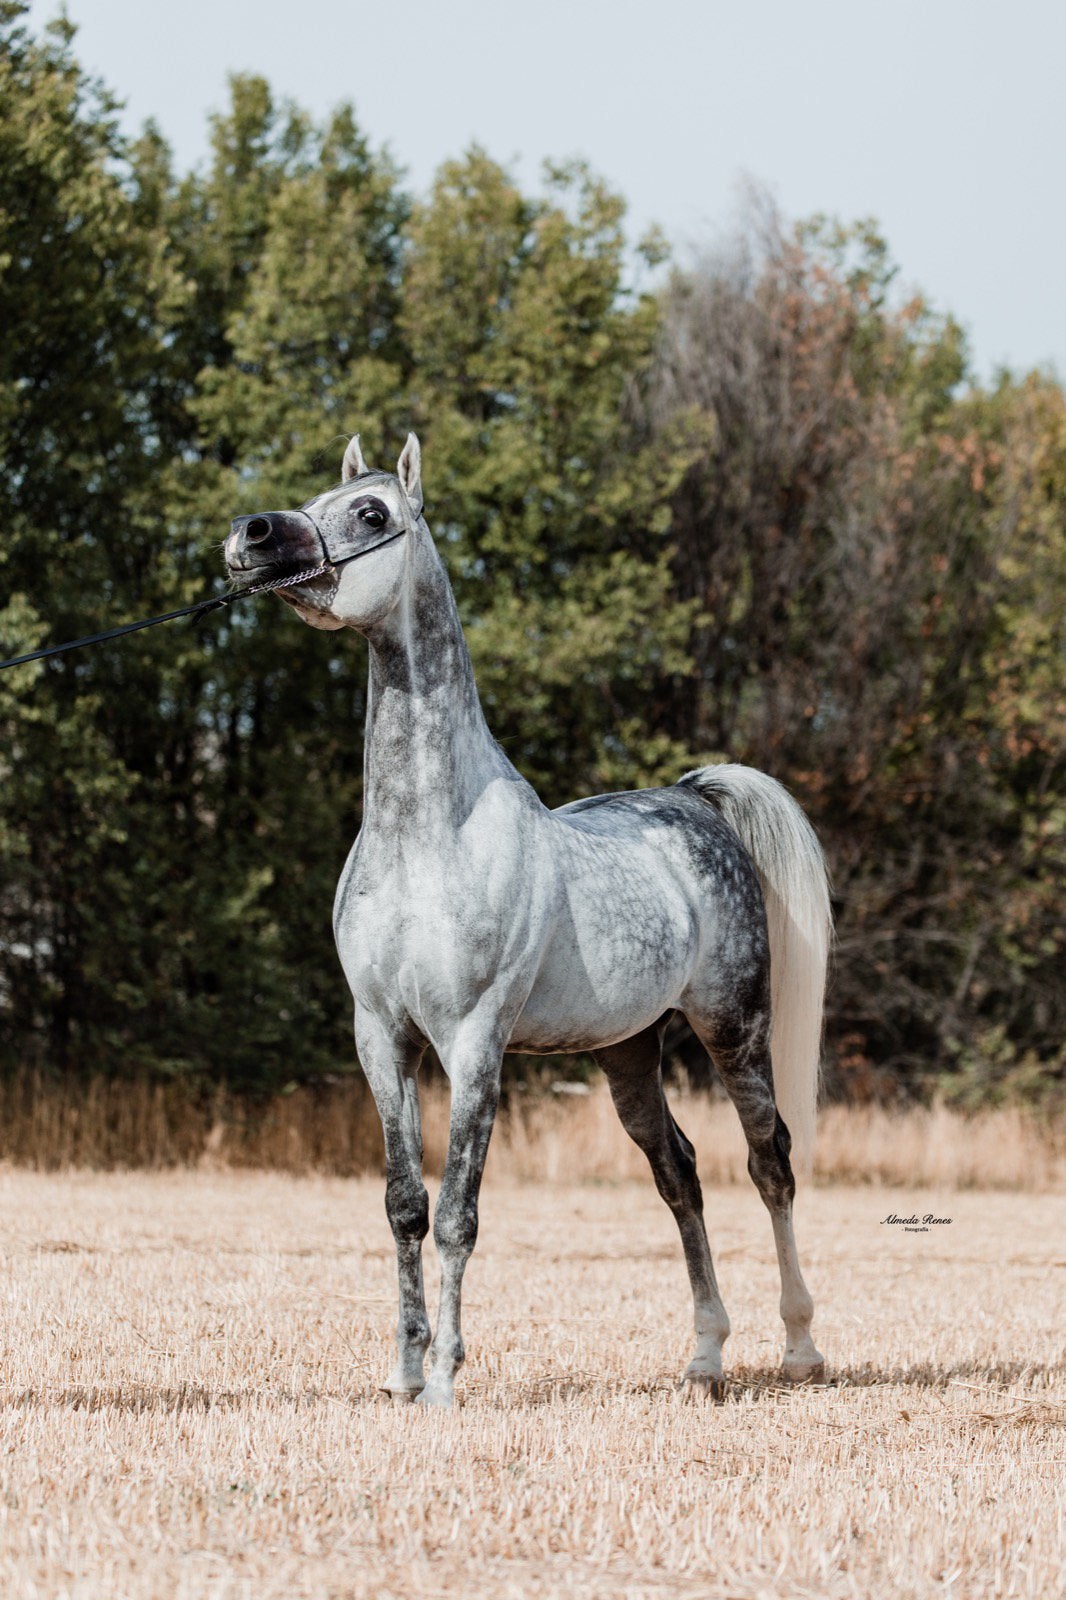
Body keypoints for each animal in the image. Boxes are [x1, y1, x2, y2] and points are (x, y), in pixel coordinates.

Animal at [224, 432, 830, 1408]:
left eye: (369, 512)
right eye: (314, 498)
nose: (251, 536)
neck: (428, 838)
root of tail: (694, 801)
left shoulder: (474, 1040)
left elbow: (460, 1213)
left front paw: (444, 1378)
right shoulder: (381, 1035)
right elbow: (405, 1206)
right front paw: (402, 1372)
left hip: (735, 1028)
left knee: (768, 1162)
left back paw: (801, 1349)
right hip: (629, 1052)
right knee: (681, 1177)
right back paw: (704, 1358)